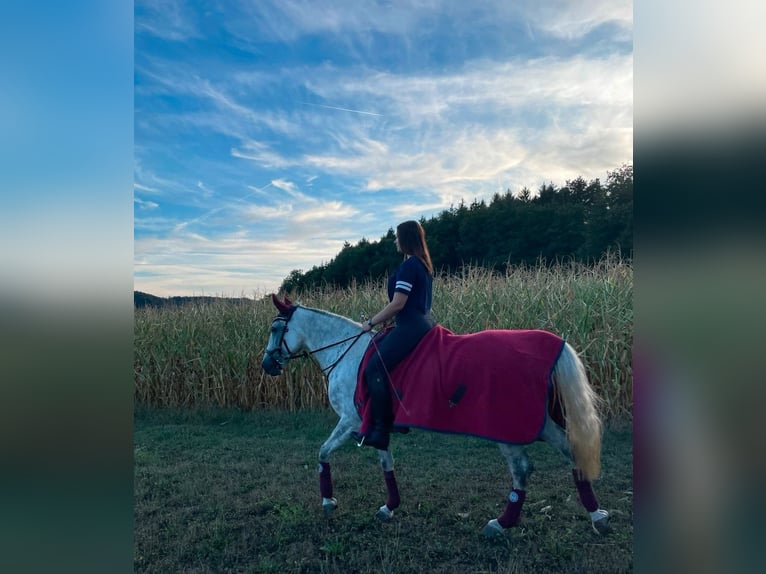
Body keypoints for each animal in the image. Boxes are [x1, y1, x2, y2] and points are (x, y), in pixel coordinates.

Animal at [262, 296, 612, 540]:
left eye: (276, 329)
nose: (267, 365)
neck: (346, 353)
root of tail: (553, 345)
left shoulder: (350, 420)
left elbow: (322, 453)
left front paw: (328, 502)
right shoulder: (376, 424)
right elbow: (386, 463)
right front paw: (389, 507)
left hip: (507, 429)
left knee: (523, 470)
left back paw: (501, 524)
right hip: (540, 423)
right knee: (571, 452)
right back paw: (598, 517)